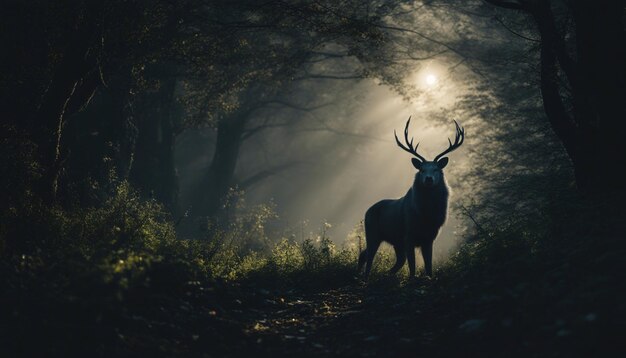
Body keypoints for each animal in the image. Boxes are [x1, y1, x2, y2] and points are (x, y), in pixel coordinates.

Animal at [356, 117, 464, 280]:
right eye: (422, 169)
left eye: (436, 169)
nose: (428, 179)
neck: (425, 216)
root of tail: (367, 210)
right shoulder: (408, 235)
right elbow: (412, 267)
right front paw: (412, 280)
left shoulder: (429, 238)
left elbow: (429, 267)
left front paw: (428, 279)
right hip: (372, 232)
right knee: (369, 257)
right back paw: (365, 278)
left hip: (395, 241)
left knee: (389, 259)